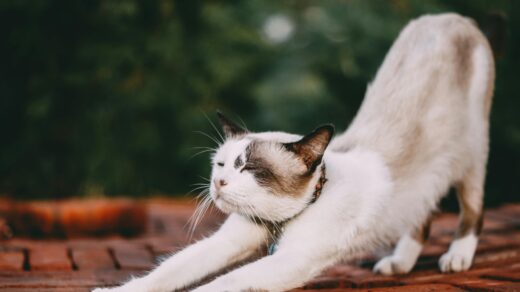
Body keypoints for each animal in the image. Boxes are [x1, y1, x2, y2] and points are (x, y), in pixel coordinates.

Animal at [93, 13, 496, 292]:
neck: (278, 223)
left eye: (249, 168)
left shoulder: (290, 261)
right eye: (221, 165)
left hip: (470, 158)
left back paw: (456, 257)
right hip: (430, 180)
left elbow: (219, 284)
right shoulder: (227, 243)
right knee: (422, 214)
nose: (219, 184)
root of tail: (450, 18)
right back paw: (398, 263)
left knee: (472, 212)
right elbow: (166, 272)